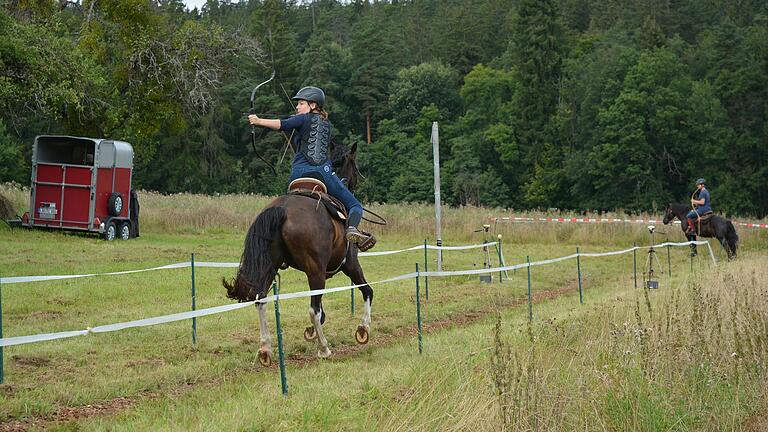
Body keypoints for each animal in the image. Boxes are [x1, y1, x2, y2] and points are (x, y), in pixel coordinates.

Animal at [222, 143, 372, 364]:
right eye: (354, 165)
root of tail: (282, 209)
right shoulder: (351, 265)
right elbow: (367, 291)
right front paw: (363, 328)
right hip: (316, 271)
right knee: (313, 309)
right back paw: (324, 348)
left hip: (271, 267)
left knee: (260, 299)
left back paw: (265, 349)